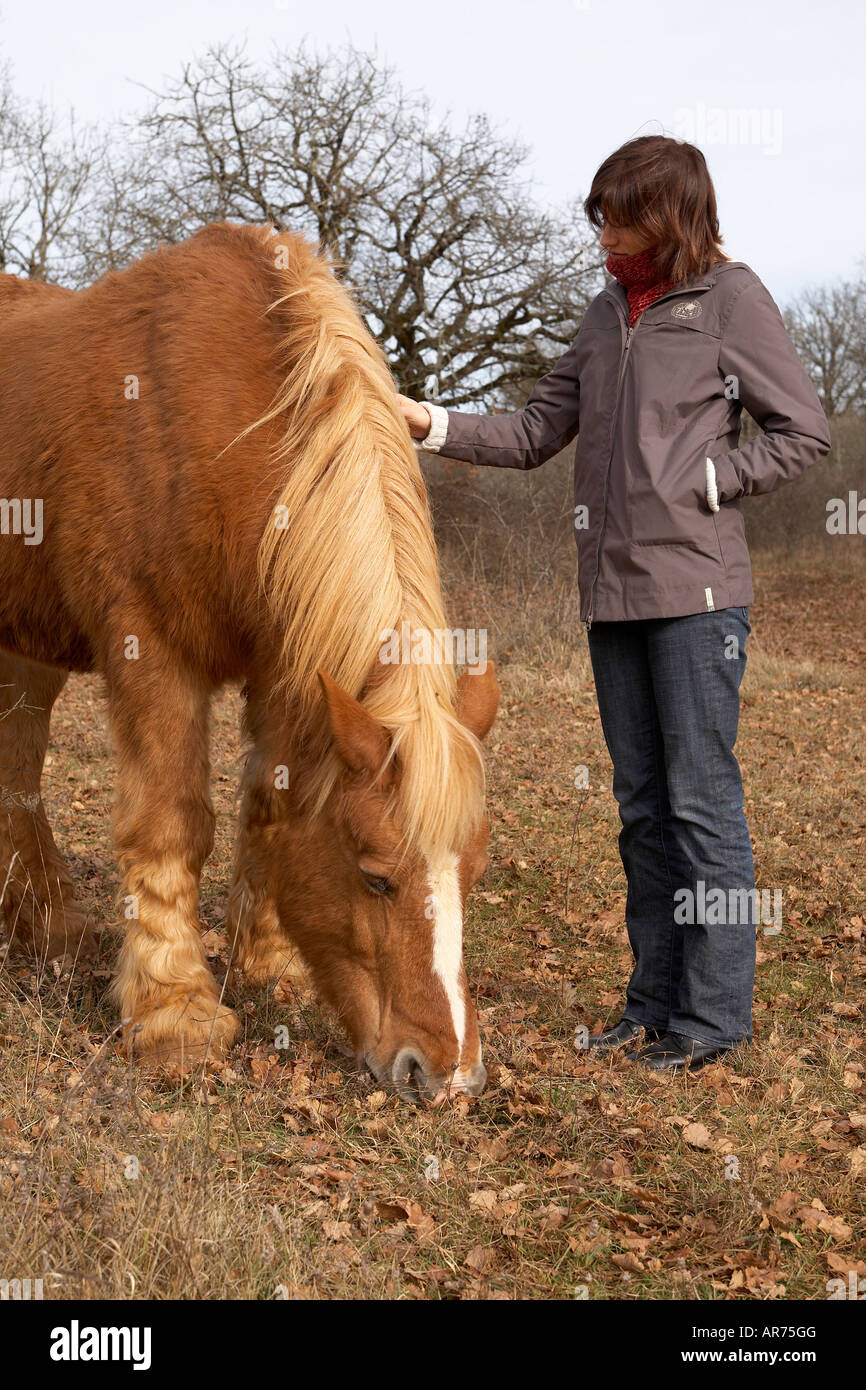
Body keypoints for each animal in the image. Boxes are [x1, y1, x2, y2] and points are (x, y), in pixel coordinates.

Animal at [0, 225, 497, 1095]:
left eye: (471, 874)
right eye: (375, 875)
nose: (443, 1074)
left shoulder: (284, 668)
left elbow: (268, 810)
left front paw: (269, 966)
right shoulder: (153, 653)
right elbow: (171, 823)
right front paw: (175, 1013)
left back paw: (45, 925)